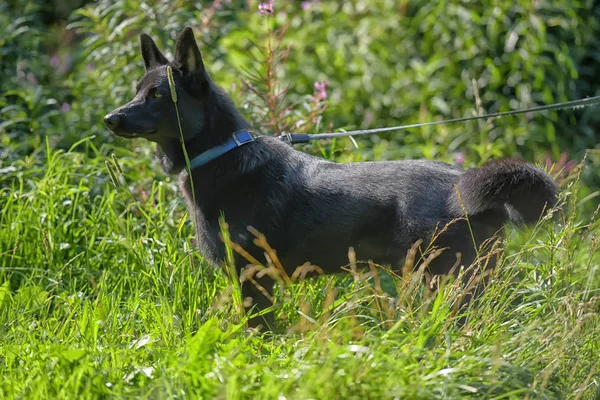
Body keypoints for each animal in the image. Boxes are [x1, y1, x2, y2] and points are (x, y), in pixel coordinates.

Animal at [104, 26, 556, 326]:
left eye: (157, 95)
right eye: (136, 91)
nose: (110, 118)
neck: (223, 153)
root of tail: (467, 183)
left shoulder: (253, 281)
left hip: (450, 282)